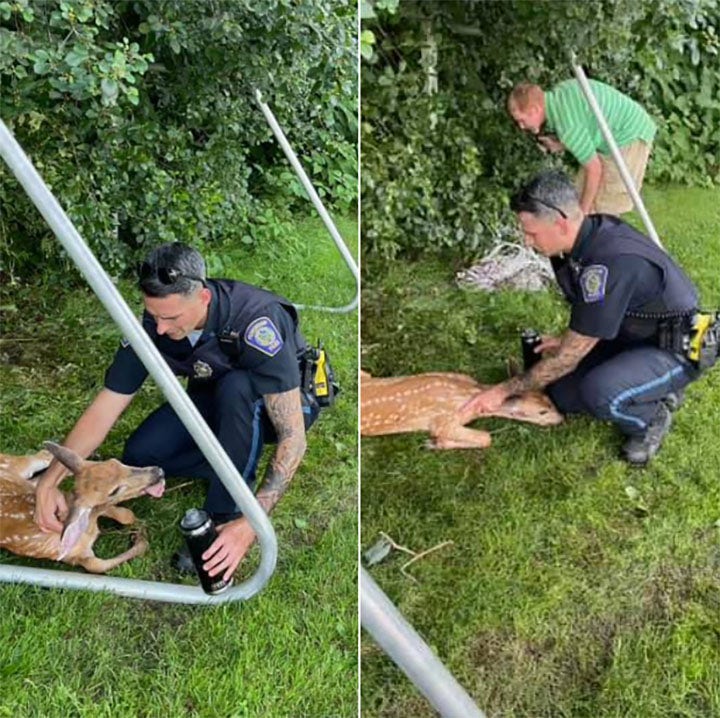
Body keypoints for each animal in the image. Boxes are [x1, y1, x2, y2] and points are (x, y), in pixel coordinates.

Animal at [0, 444, 165, 572]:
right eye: (114, 491)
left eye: (117, 462)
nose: (158, 472)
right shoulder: (72, 556)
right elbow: (97, 567)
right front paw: (140, 539)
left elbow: (126, 515)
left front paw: (139, 530)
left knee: (44, 457)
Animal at [360, 372, 564, 450]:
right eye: (542, 412)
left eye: (549, 399)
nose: (561, 419)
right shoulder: (443, 421)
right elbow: (486, 438)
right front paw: (435, 443)